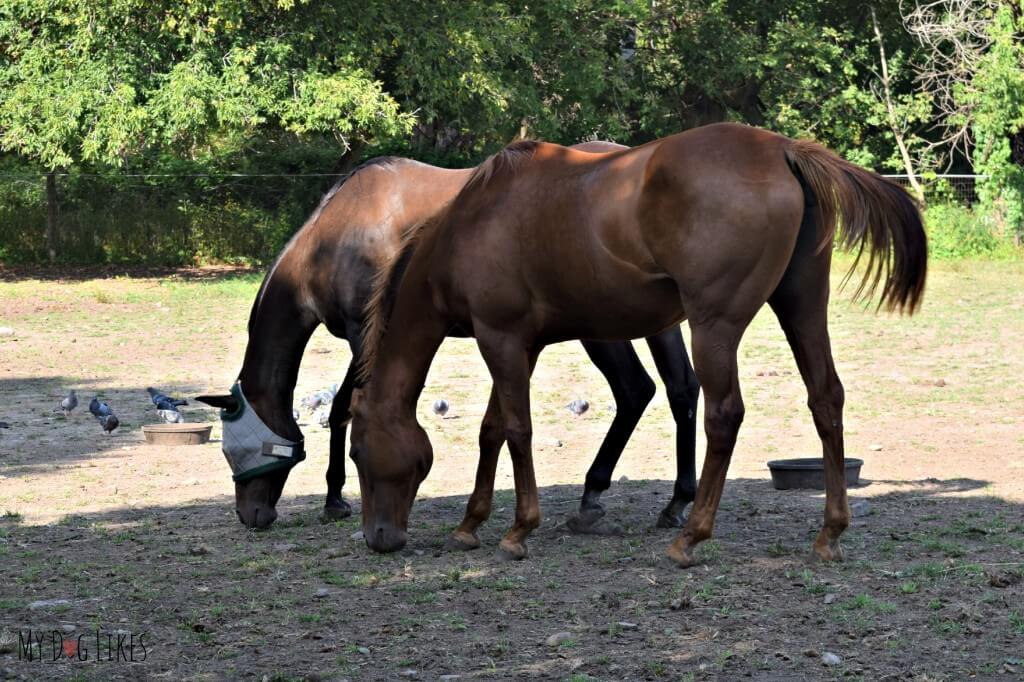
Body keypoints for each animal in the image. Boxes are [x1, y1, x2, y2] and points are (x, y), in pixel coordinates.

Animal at [194, 143, 700, 532]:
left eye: (231, 450)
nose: (250, 516)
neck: (340, 231)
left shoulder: (364, 334)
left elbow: (342, 410)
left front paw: (337, 497)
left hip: (602, 330)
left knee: (635, 390)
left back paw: (597, 494)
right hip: (657, 324)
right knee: (678, 389)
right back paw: (672, 502)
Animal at [352, 122, 929, 561]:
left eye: (357, 451)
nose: (378, 538)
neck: (469, 227)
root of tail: (781, 150)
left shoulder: (501, 339)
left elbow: (516, 429)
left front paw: (518, 529)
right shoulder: (521, 346)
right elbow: (493, 429)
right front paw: (471, 523)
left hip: (713, 326)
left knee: (722, 414)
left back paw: (690, 535)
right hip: (802, 308)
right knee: (825, 399)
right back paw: (829, 533)